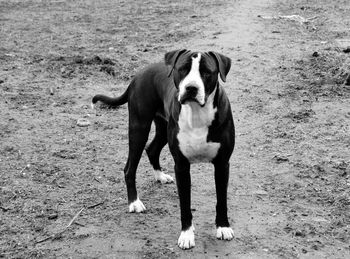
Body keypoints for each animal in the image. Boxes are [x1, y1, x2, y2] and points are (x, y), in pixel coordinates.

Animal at [92, 49, 235, 251]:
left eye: (207, 72)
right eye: (182, 69)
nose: (191, 88)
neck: (197, 113)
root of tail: (139, 74)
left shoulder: (222, 164)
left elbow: (221, 199)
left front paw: (223, 227)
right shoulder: (182, 166)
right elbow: (185, 204)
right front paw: (186, 235)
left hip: (162, 127)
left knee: (151, 149)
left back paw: (160, 176)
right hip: (139, 128)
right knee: (129, 167)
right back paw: (134, 202)